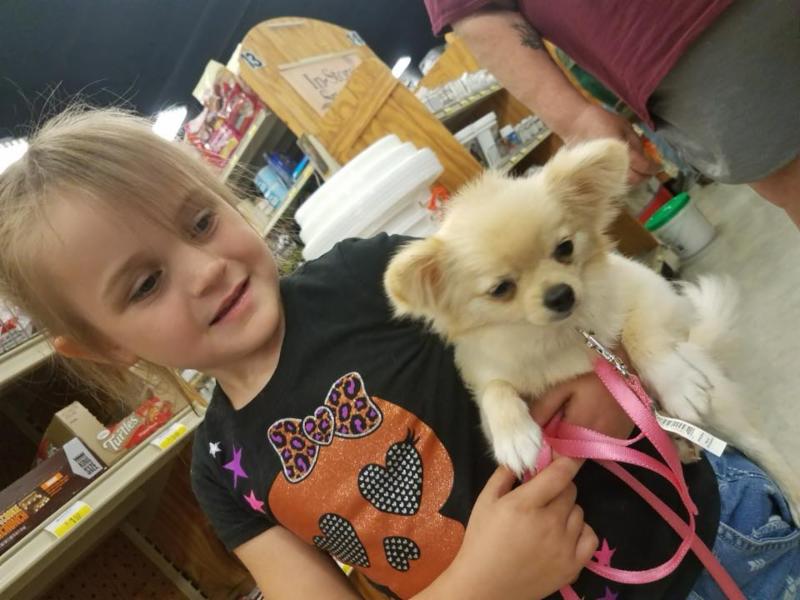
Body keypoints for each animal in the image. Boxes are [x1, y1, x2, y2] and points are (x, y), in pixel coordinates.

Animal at [384, 139, 800, 521]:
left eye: (565, 248)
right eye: (501, 289)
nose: (560, 294)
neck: (567, 333)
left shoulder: (655, 293)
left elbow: (639, 332)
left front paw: (676, 383)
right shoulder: (487, 373)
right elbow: (495, 392)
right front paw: (515, 436)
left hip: (723, 408)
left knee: (761, 447)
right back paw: (680, 449)